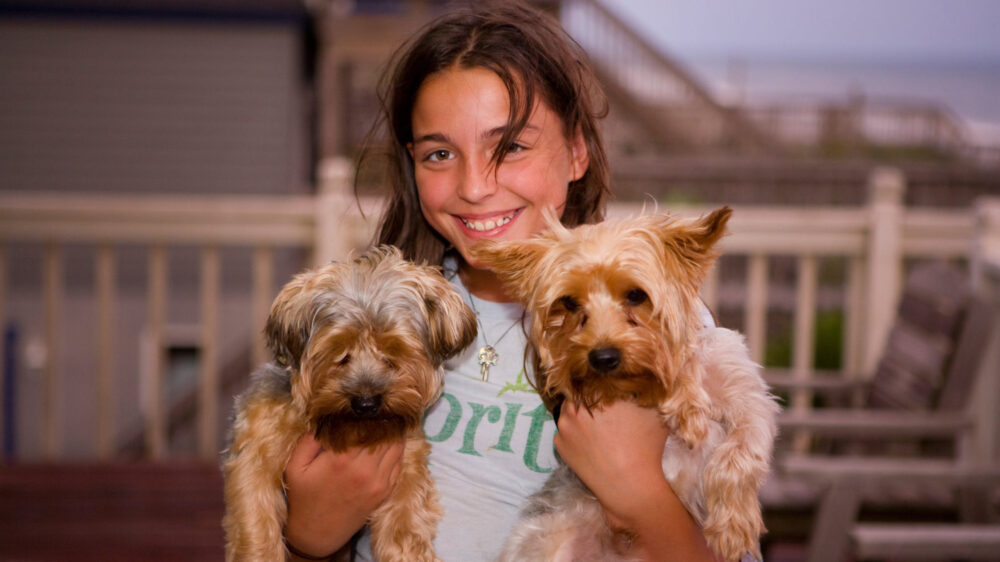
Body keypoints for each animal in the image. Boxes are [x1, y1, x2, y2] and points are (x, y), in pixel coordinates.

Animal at [222, 246, 477, 562]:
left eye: (393, 353)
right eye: (340, 353)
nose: (366, 402)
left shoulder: (406, 462)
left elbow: (405, 525)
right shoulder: (256, 450)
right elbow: (256, 520)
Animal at [471, 208, 780, 562]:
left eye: (636, 295)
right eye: (569, 303)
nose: (602, 357)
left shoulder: (749, 400)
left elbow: (739, 457)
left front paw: (732, 528)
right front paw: (685, 401)